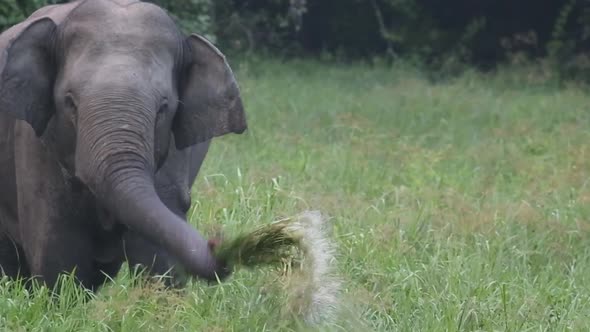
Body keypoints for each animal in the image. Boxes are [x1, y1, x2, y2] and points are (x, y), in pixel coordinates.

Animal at [0, 0, 247, 290]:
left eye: (164, 107)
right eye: (69, 102)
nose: (219, 244)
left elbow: (155, 244)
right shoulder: (35, 142)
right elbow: (57, 251)